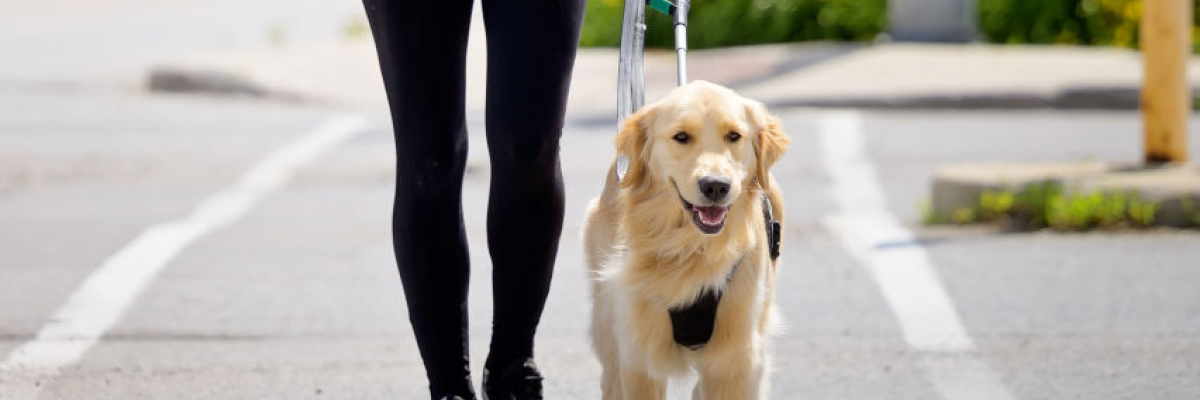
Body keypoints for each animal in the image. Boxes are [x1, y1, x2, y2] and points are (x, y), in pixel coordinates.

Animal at [580, 81, 787, 398]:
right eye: (681, 137)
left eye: (734, 136)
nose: (715, 186)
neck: (691, 248)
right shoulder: (639, 357)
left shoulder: (735, 360)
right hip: (607, 319)